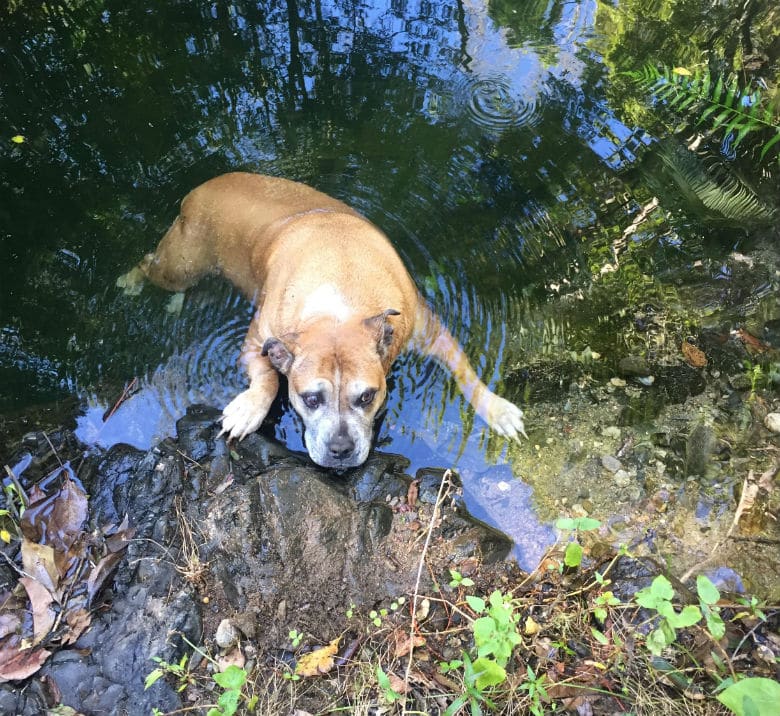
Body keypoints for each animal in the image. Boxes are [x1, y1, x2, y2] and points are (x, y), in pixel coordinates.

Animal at [119, 173, 528, 470]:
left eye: (368, 396)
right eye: (310, 399)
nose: (341, 448)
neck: (338, 295)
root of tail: (201, 187)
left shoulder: (431, 331)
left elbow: (465, 371)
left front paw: (498, 410)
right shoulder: (255, 343)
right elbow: (269, 376)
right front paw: (248, 409)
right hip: (181, 263)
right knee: (149, 263)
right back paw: (129, 282)